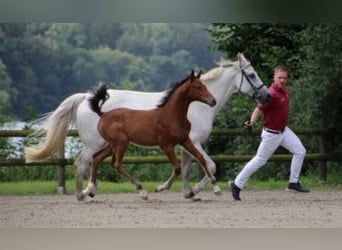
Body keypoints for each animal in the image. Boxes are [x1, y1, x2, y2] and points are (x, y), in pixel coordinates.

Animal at [24, 53, 272, 201]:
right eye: (251, 74)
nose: (267, 96)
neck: (193, 106)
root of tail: (86, 98)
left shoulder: (186, 143)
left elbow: (188, 167)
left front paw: (189, 193)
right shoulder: (194, 142)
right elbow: (210, 165)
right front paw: (194, 190)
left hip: (104, 144)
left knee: (90, 163)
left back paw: (90, 191)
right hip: (95, 143)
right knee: (81, 164)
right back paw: (83, 193)